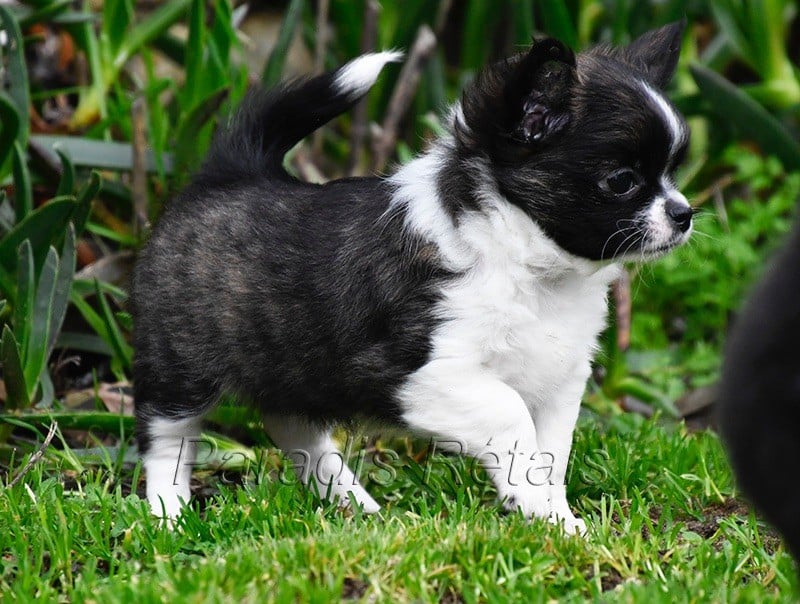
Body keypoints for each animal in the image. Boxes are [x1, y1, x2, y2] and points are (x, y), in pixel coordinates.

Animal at [133, 20, 692, 535]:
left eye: (672, 174)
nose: (685, 213)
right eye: (622, 181)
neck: (526, 264)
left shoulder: (561, 379)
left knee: (294, 429)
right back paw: (169, 516)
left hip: (293, 366)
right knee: (167, 438)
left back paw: (353, 504)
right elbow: (512, 418)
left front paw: (555, 519)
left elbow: (549, 454)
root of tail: (231, 172)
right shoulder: (419, 376)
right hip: (179, 364)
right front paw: (539, 511)